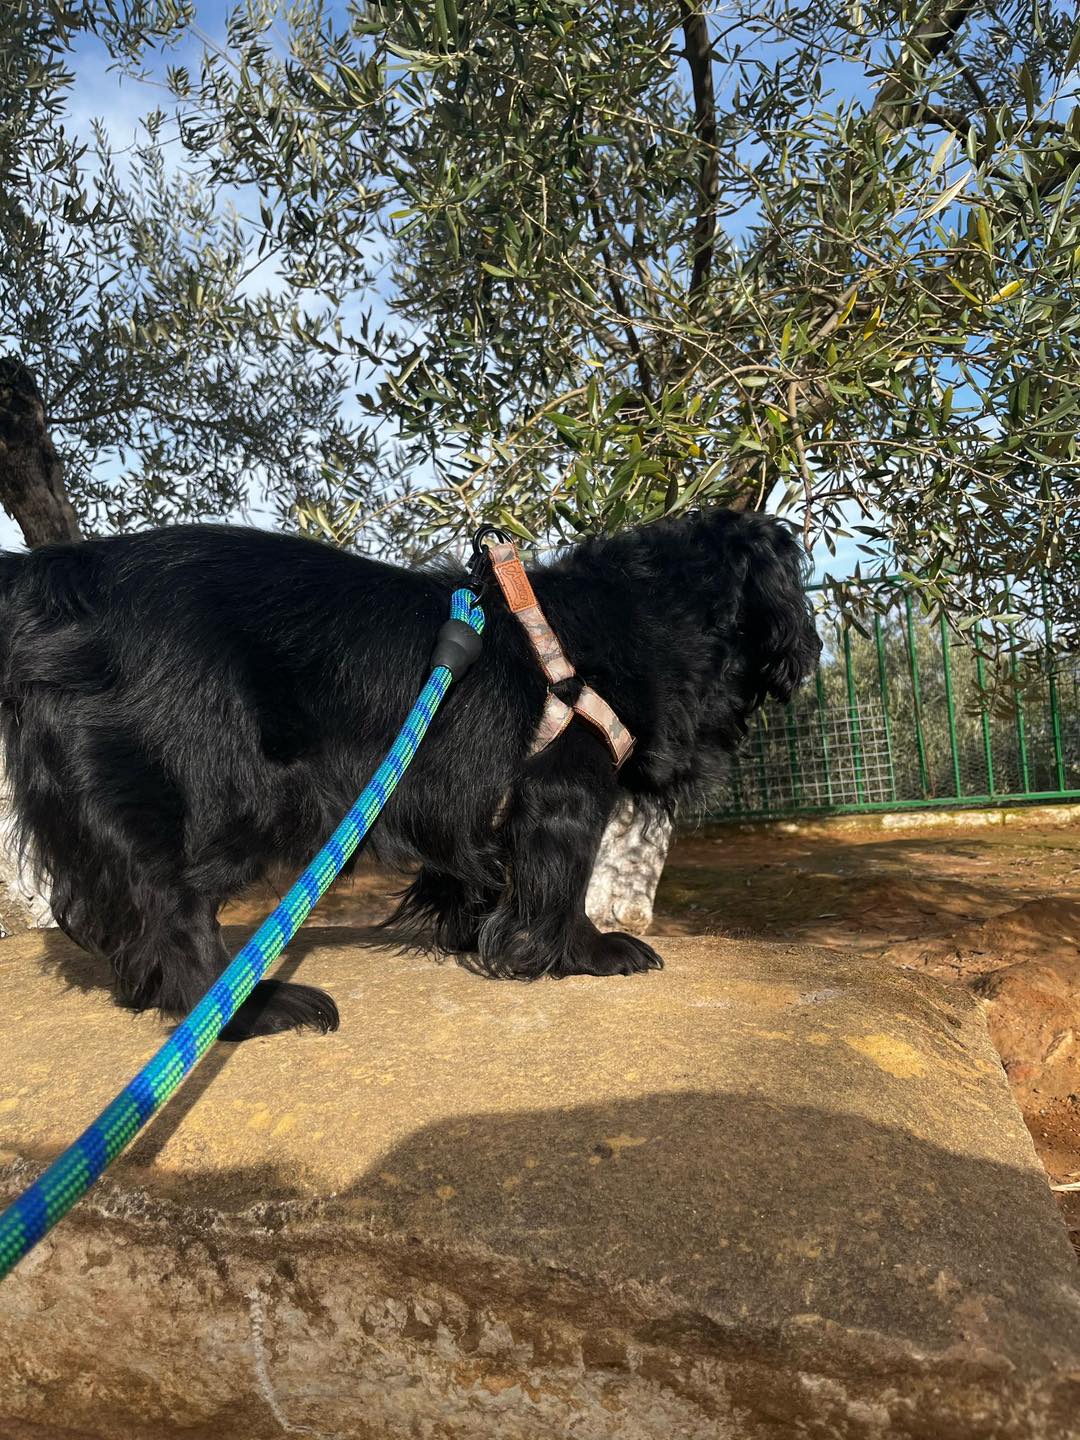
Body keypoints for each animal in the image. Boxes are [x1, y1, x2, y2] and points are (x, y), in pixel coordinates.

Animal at [0, 507, 821, 1039]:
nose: (810, 650)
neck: (642, 612)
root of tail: (56, 572)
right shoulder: (565, 782)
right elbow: (562, 874)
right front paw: (587, 953)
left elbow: (472, 867)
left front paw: (472, 935)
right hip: (219, 786)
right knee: (172, 906)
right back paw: (244, 1008)